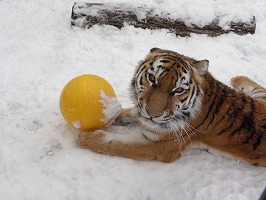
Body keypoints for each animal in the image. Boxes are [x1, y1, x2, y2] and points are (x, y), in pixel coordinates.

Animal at [77, 47, 266, 166]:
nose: (153, 114)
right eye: (152, 79)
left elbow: (116, 144)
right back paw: (238, 78)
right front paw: (114, 114)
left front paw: (85, 137)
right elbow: (132, 112)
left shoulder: (161, 146)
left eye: (179, 90)